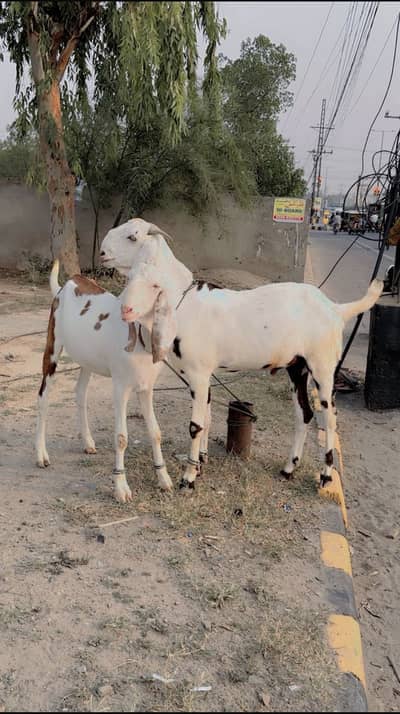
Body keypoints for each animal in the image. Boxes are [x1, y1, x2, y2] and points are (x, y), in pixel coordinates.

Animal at [36, 259, 173, 502]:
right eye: (131, 280)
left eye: (156, 285)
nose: (127, 310)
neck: (141, 341)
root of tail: (67, 285)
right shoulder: (120, 387)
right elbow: (121, 437)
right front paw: (121, 487)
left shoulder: (146, 388)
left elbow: (155, 432)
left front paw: (163, 478)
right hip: (52, 345)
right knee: (43, 396)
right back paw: (41, 455)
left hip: (86, 358)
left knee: (80, 392)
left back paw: (88, 442)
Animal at [100, 223, 383, 489]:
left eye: (132, 236)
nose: (102, 253)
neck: (185, 301)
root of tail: (336, 308)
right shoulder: (201, 376)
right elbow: (207, 417)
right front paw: (200, 463)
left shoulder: (198, 373)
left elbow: (195, 425)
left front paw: (188, 478)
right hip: (297, 367)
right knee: (304, 413)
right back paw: (288, 469)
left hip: (322, 366)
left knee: (330, 418)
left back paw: (325, 476)